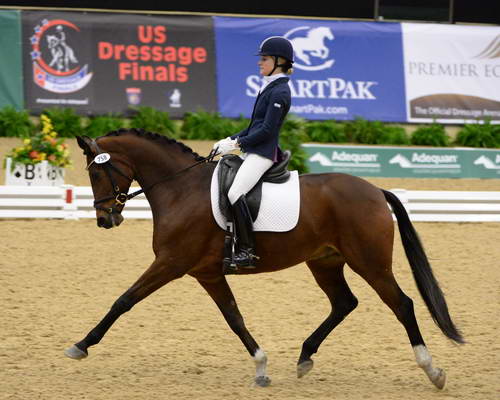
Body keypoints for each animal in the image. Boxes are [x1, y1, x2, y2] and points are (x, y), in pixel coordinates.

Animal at [66, 130, 464, 390]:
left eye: (96, 171)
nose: (105, 219)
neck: (181, 190)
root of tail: (375, 190)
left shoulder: (171, 263)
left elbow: (124, 300)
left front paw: (81, 345)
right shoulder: (207, 274)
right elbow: (234, 318)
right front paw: (260, 366)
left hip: (370, 262)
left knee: (402, 304)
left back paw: (433, 371)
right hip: (325, 262)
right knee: (343, 302)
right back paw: (305, 357)